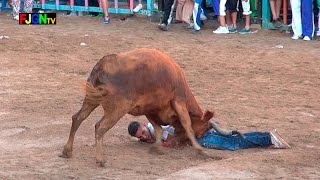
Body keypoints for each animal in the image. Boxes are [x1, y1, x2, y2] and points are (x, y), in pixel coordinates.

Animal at [59, 47, 215, 166]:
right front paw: (200, 150)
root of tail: (102, 65)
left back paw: (67, 151)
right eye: (202, 131)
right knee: (100, 127)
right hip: (117, 109)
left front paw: (156, 148)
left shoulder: (150, 110)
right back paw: (100, 159)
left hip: (91, 100)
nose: (179, 145)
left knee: (77, 118)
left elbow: (158, 128)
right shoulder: (179, 101)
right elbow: (187, 126)